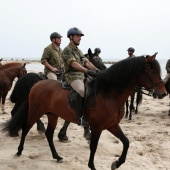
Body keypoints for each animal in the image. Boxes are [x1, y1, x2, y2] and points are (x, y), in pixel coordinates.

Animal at [1, 53, 166, 169]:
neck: (109, 94)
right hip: (35, 112)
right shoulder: (98, 127)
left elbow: (126, 142)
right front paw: (92, 166)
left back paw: (57, 156)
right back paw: (19, 150)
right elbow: (93, 146)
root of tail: (37, 84)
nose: (163, 93)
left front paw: (116, 163)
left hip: (53, 115)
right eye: (151, 70)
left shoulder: (112, 125)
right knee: (26, 127)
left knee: (49, 134)